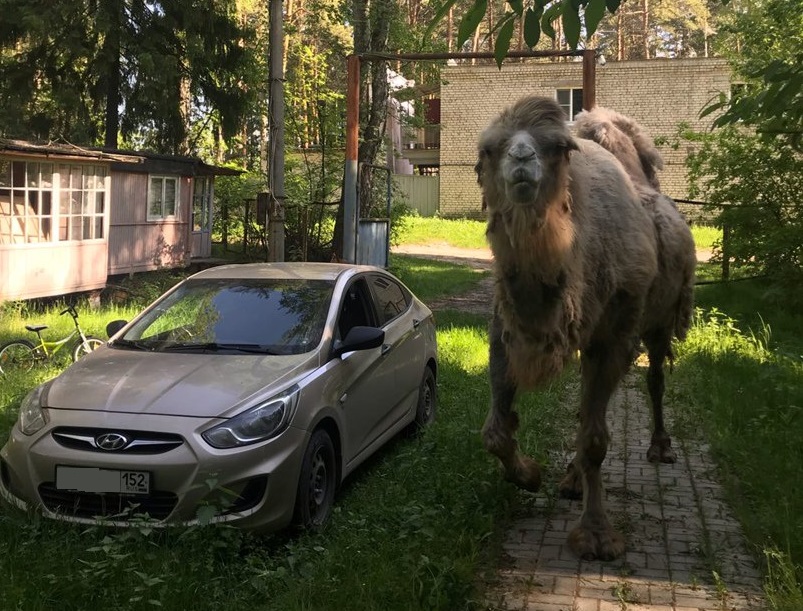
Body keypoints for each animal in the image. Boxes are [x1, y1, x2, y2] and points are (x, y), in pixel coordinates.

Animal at [474, 98, 696, 560]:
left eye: (559, 147)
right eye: (488, 149)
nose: (521, 159)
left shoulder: (613, 338)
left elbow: (596, 440)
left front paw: (597, 535)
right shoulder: (507, 330)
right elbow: (495, 433)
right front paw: (529, 475)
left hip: (661, 319)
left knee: (655, 378)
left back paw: (659, 446)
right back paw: (572, 480)